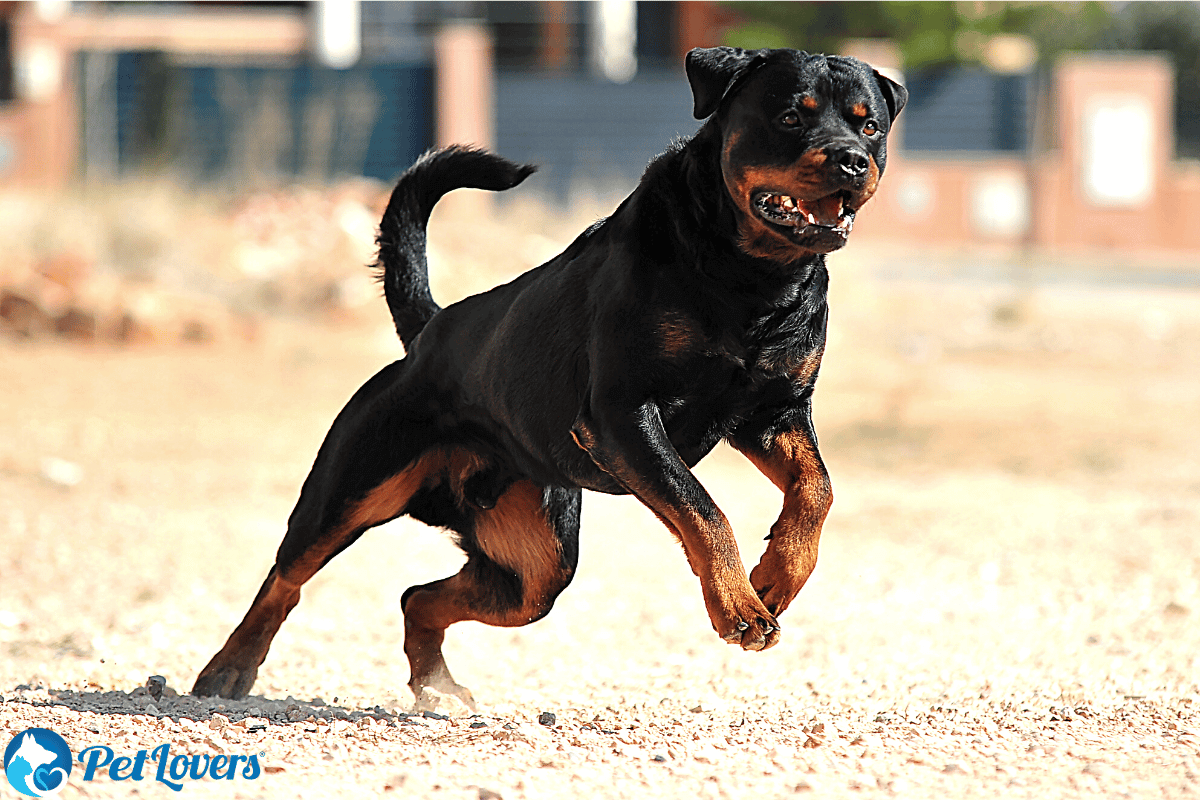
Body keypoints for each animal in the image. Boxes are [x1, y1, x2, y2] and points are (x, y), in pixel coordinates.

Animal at [192, 47, 902, 705]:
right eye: (789, 117)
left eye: (869, 126)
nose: (851, 160)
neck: (751, 278)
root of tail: (429, 331)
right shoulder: (623, 415)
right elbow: (703, 509)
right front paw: (739, 606)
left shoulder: (774, 413)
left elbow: (816, 489)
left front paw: (779, 574)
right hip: (354, 485)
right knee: (288, 576)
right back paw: (228, 667)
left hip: (536, 562)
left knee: (420, 596)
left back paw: (435, 684)